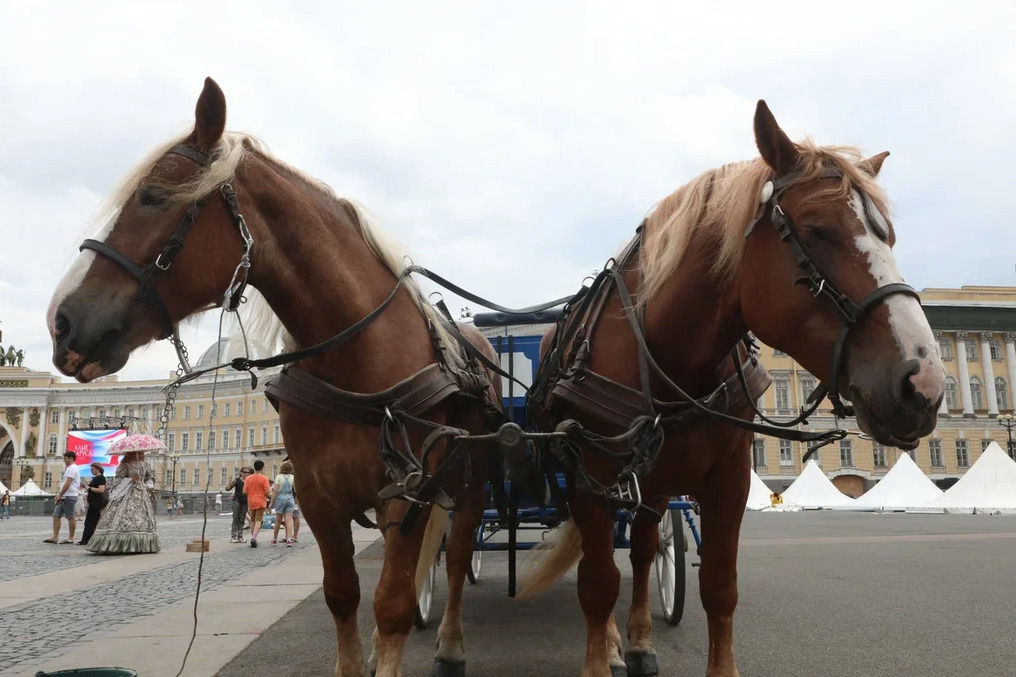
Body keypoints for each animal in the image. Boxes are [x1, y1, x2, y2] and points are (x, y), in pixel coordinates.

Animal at [46, 77, 499, 674]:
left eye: (153, 195)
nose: (61, 322)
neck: (357, 361)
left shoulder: (408, 495)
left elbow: (395, 603)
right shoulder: (318, 498)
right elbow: (345, 597)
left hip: (470, 485)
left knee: (459, 553)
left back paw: (450, 644)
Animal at [524, 101, 942, 674]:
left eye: (889, 237)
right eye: (817, 230)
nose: (924, 381)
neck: (667, 357)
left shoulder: (728, 481)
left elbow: (719, 587)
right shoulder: (589, 481)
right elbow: (597, 582)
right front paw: (598, 655)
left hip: (656, 486)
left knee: (644, 550)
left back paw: (639, 640)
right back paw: (611, 640)